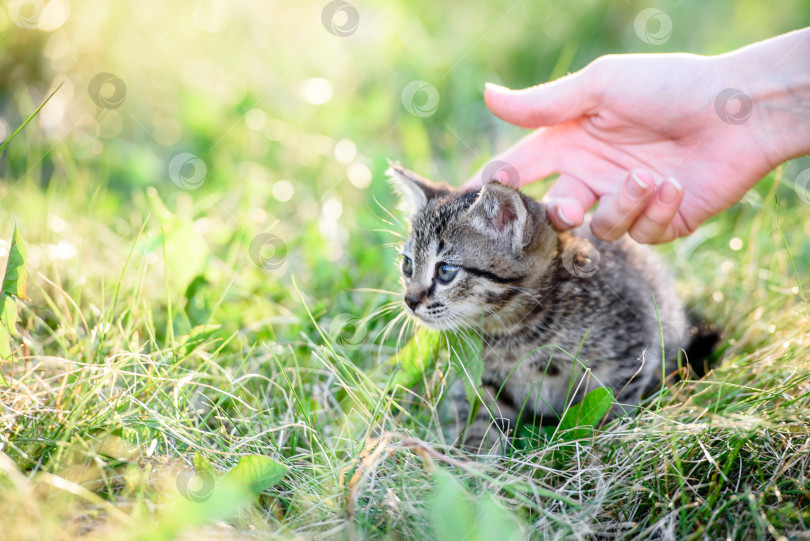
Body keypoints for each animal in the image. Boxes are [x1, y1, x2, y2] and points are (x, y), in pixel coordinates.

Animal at [388, 163, 704, 452]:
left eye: (445, 271)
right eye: (408, 265)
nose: (410, 301)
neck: (512, 332)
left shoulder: (629, 346)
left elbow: (610, 404)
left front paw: (598, 449)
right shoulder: (481, 380)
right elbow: (480, 417)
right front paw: (476, 459)